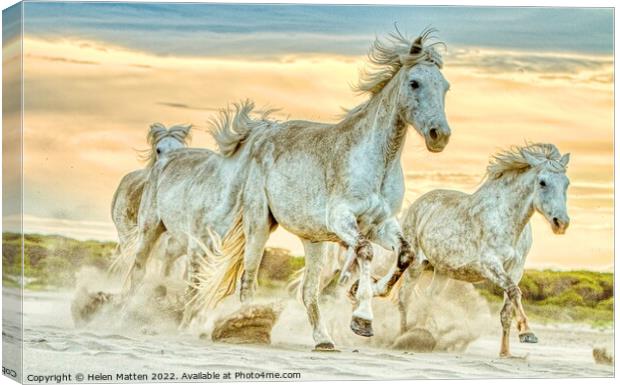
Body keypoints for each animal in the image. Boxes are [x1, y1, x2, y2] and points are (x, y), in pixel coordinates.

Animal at [128, 28, 452, 350]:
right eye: (414, 83)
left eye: (445, 87)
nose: (440, 136)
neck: (376, 162)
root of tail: (263, 133)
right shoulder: (342, 219)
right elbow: (366, 251)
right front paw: (362, 318)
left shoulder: (380, 223)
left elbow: (405, 255)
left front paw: (364, 292)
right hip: (258, 224)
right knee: (247, 279)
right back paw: (242, 323)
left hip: (314, 240)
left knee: (308, 291)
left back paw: (323, 340)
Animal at [392, 143, 572, 356]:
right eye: (542, 182)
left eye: (567, 183)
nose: (561, 223)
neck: (506, 219)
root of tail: (416, 205)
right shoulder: (490, 265)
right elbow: (515, 291)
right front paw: (527, 333)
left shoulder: (516, 269)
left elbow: (507, 310)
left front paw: (505, 352)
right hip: (415, 265)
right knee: (405, 298)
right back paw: (402, 338)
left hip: (442, 271)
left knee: (428, 298)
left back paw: (421, 335)